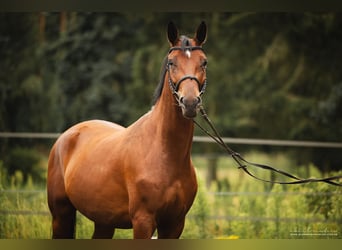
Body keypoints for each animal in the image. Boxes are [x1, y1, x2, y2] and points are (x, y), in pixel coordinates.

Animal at [46, 21, 207, 238]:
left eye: (204, 62)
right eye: (171, 63)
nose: (189, 102)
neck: (164, 153)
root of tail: (66, 136)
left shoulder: (174, 224)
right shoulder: (143, 221)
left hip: (103, 221)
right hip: (60, 215)